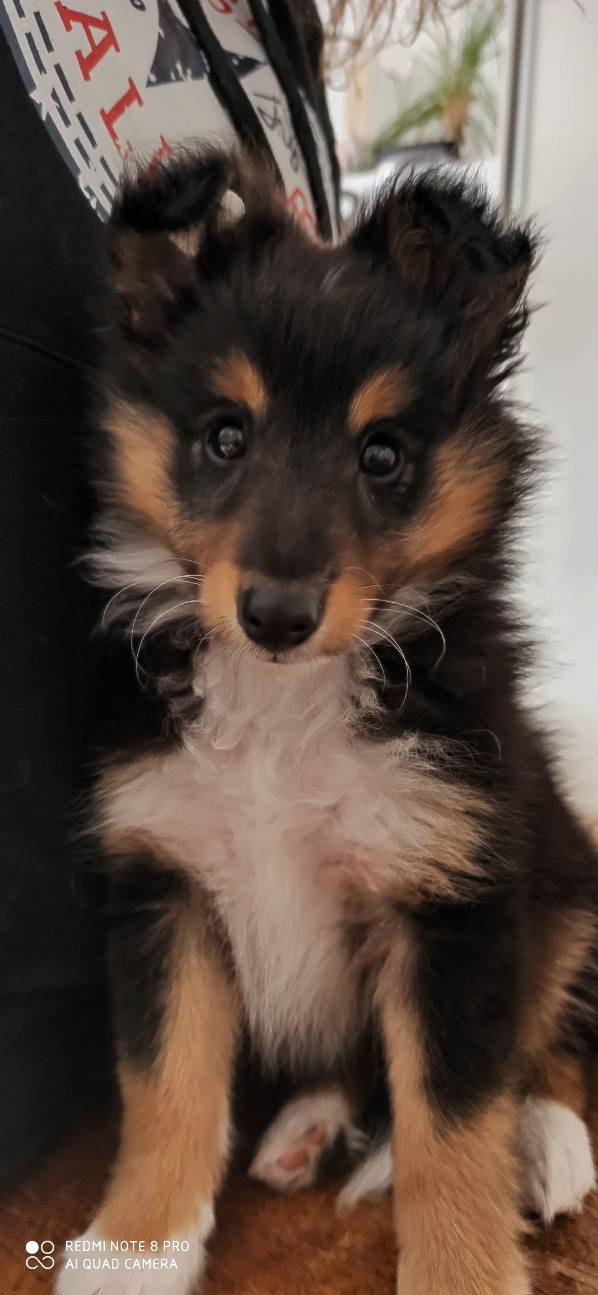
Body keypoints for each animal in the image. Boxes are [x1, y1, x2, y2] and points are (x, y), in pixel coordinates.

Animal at [56, 149, 597, 1295]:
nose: (275, 613)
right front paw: (136, 1249)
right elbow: (164, 1082)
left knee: (552, 1036)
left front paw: (462, 1270)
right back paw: (305, 1127)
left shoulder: (455, 898)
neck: (282, 701)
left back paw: (551, 1139)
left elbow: (451, 1119)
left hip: (566, 879)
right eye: (225, 436)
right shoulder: (162, 879)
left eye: (382, 454)